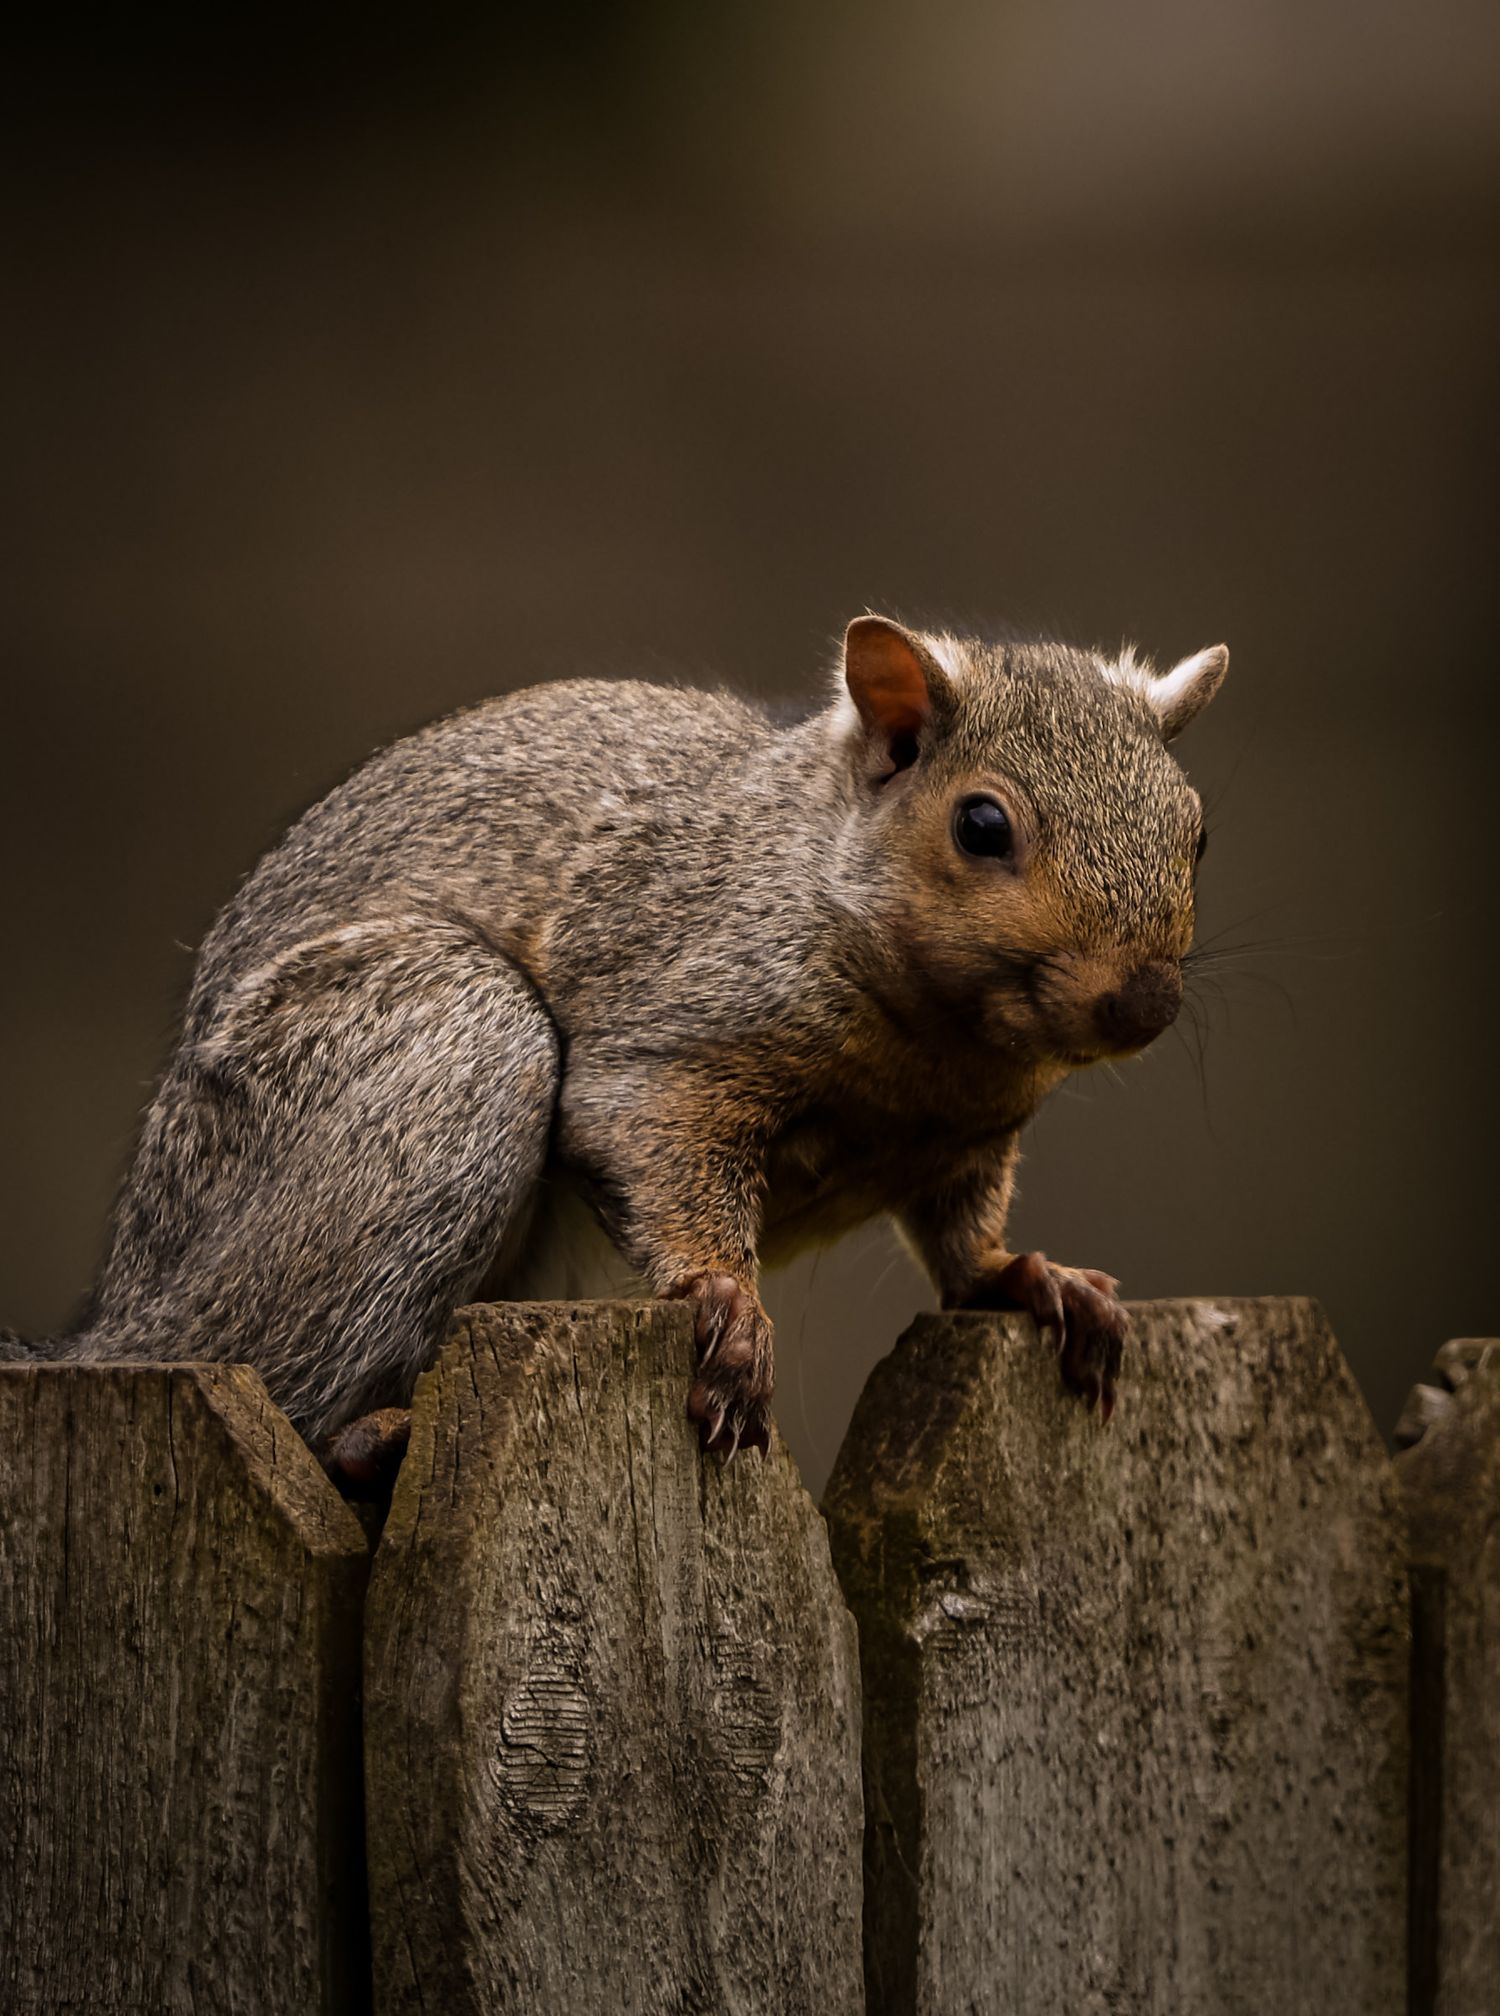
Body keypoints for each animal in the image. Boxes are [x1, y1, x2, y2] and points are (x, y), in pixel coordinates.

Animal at [1, 616, 1226, 1468]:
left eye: (1198, 830)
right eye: (981, 824)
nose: (1141, 1004)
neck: (933, 1045)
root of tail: (129, 1310)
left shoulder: (968, 1137)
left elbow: (964, 1239)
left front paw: (1036, 1278)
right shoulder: (679, 1018)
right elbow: (647, 1134)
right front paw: (727, 1305)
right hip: (440, 1052)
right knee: (288, 1374)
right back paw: (366, 1436)